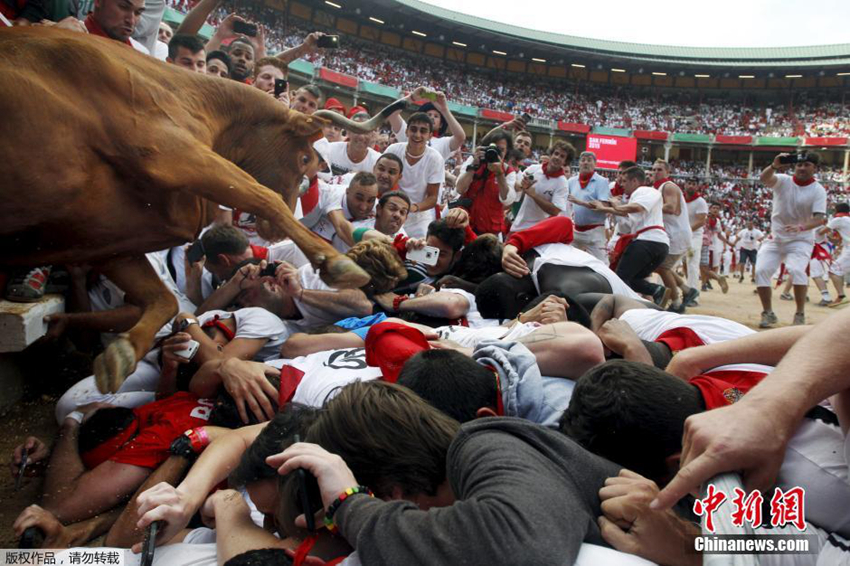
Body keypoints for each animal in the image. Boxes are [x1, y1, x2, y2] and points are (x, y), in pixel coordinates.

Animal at [0, 27, 402, 394]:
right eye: (305, 158)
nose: (274, 233)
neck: (190, 98)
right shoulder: (170, 153)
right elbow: (260, 194)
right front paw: (337, 263)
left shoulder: (106, 234)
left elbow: (162, 298)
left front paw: (121, 352)